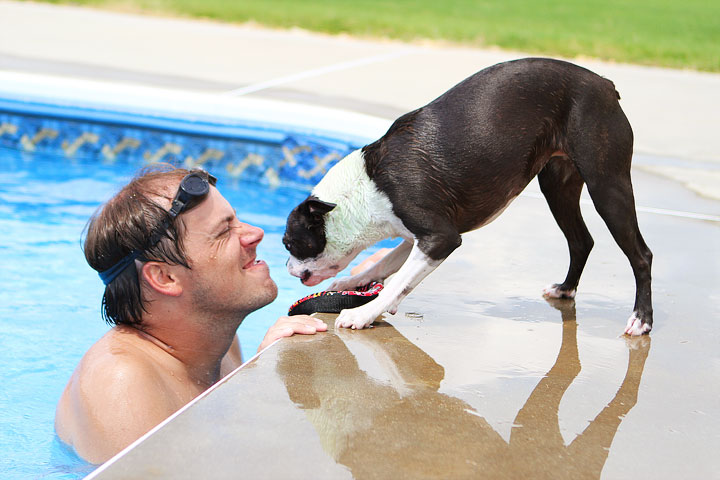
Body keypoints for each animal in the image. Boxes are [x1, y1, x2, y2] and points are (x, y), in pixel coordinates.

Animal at [286, 58, 652, 336]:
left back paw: (641, 320)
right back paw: (565, 289)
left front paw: (364, 313)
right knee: (581, 241)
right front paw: (353, 281)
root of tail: (604, 84)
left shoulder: (441, 237)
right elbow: (387, 265)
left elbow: (398, 281)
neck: (366, 187)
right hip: (557, 187)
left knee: (641, 255)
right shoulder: (417, 235)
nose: (288, 268)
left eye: (289, 244)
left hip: (607, 186)